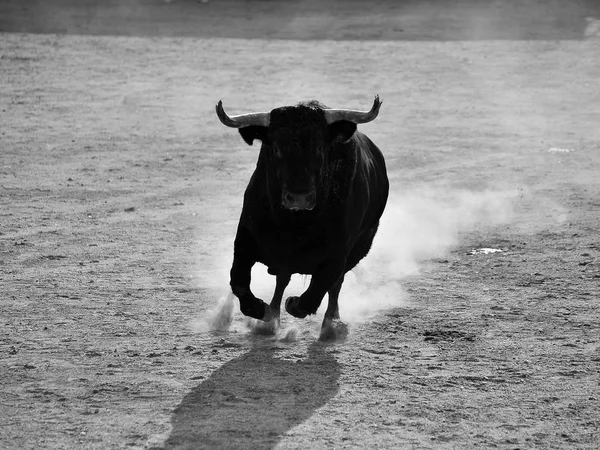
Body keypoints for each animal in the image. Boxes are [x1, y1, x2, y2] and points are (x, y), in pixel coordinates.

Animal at [216, 96, 390, 340]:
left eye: (319, 147)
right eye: (276, 147)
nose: (298, 198)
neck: (296, 225)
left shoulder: (338, 254)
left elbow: (316, 293)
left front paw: (293, 303)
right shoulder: (245, 239)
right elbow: (239, 280)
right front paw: (262, 311)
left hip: (359, 248)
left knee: (334, 286)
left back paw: (331, 323)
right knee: (282, 279)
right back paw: (270, 318)